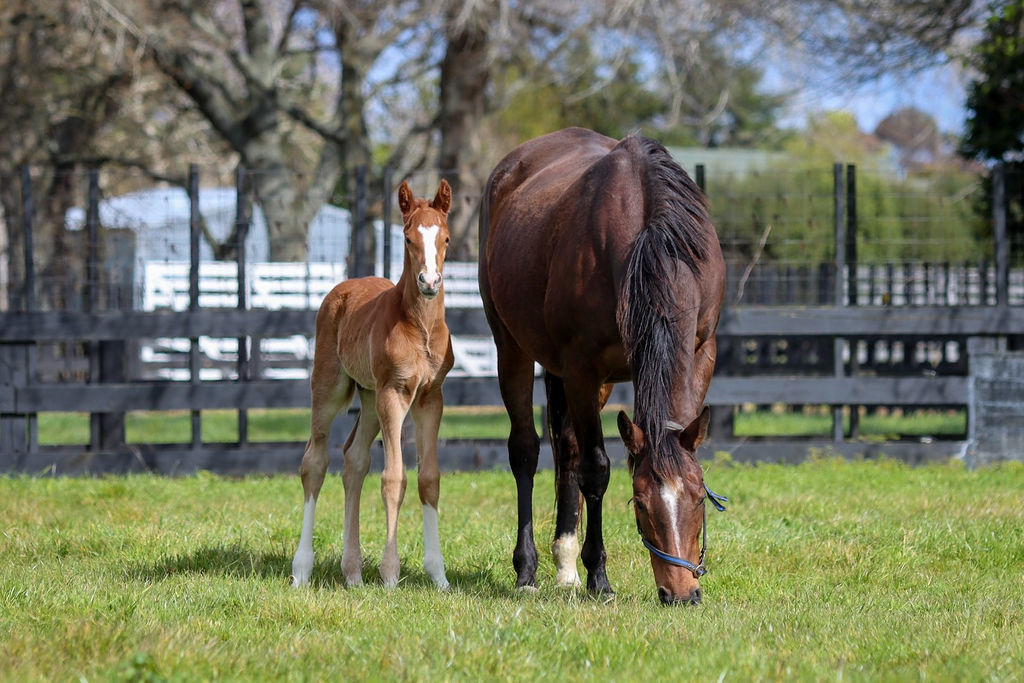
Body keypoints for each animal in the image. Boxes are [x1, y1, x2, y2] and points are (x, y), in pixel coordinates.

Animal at [290, 179, 454, 589]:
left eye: (445, 237)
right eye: (408, 238)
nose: (430, 282)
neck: (420, 327)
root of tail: (344, 287)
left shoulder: (430, 397)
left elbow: (429, 478)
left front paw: (439, 576)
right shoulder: (394, 392)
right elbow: (394, 479)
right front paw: (391, 575)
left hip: (368, 396)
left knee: (354, 461)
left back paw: (352, 573)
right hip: (333, 389)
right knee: (315, 461)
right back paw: (302, 569)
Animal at [481, 126, 729, 602]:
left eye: (699, 498)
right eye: (641, 504)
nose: (682, 593)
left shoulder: (700, 352)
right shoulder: (581, 366)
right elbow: (596, 470)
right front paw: (600, 577)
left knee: (567, 450)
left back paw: (565, 565)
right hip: (513, 348)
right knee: (526, 451)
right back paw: (528, 571)